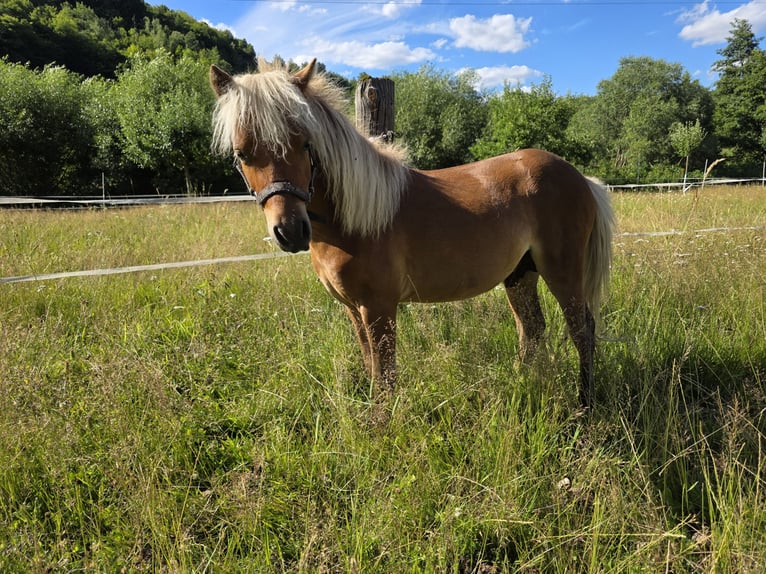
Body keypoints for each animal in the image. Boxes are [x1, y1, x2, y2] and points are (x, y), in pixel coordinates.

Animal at [209, 59, 614, 408]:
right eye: (241, 152)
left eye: (304, 143)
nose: (291, 232)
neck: (354, 218)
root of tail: (581, 178)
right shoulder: (355, 311)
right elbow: (371, 367)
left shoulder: (379, 308)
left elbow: (385, 377)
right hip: (520, 274)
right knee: (532, 331)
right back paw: (524, 387)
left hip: (562, 272)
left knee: (582, 331)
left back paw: (584, 404)